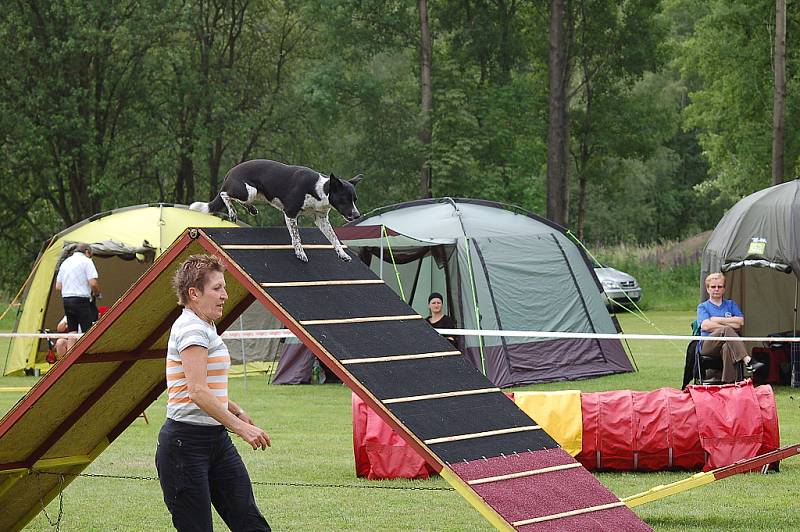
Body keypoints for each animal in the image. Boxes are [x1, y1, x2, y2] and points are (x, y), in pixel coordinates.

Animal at [189, 160, 364, 264]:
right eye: (345, 200)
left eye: (355, 199)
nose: (357, 215)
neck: (320, 189)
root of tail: (230, 172)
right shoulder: (291, 213)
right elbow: (296, 237)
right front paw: (300, 253)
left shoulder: (321, 219)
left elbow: (334, 238)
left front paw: (342, 254)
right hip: (248, 191)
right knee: (225, 195)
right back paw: (232, 212)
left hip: (256, 194)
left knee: (237, 199)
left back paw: (251, 208)